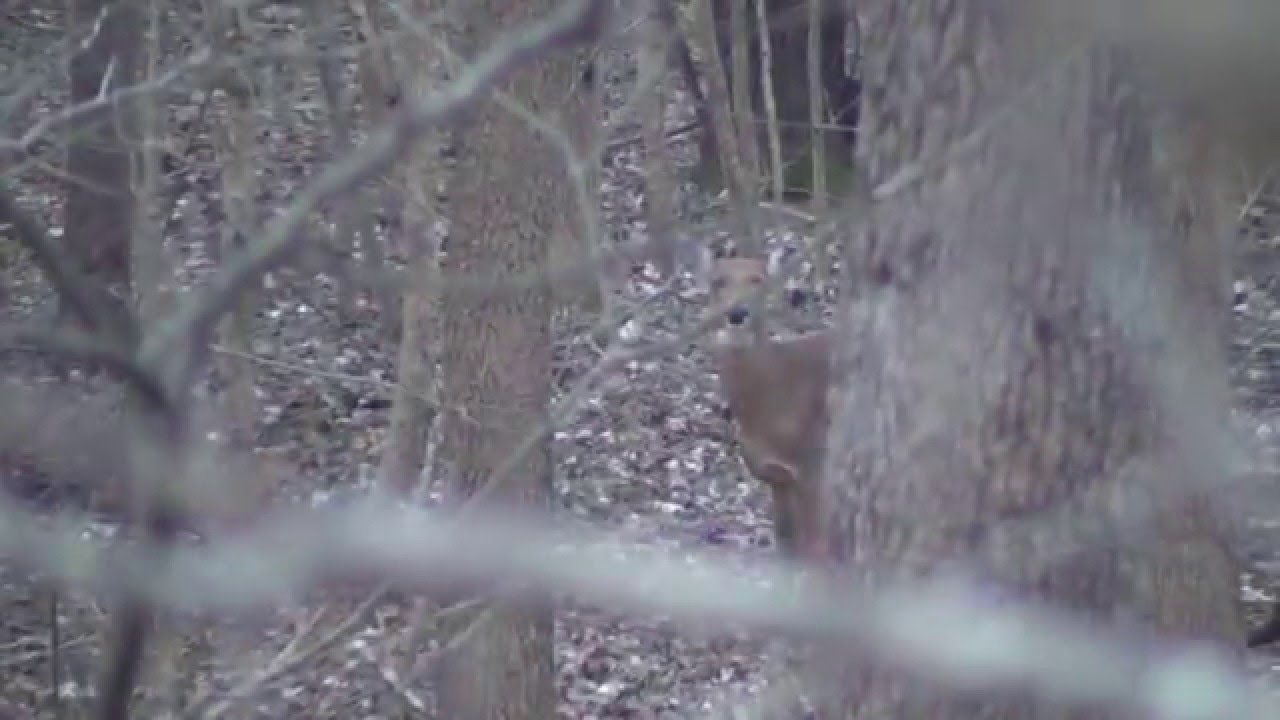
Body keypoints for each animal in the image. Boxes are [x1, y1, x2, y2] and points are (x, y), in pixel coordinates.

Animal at [704, 253, 833, 563]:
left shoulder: (815, 467)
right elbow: (785, 545)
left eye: (757, 279)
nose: (737, 313)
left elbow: (816, 550)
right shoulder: (775, 477)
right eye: (718, 281)